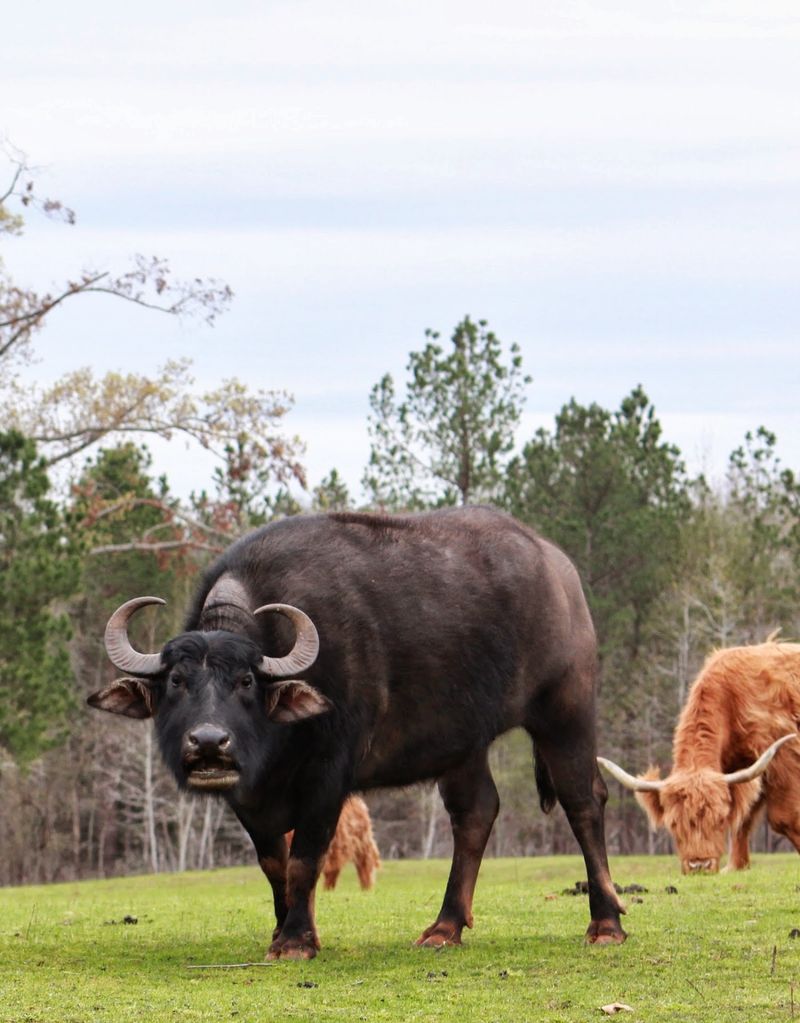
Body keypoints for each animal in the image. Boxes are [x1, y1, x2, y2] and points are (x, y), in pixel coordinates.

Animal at [88, 506, 626, 958]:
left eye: (245, 682)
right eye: (177, 682)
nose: (208, 743)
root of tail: (558, 568)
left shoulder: (329, 777)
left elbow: (304, 859)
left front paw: (296, 941)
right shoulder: (248, 795)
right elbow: (274, 864)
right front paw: (282, 929)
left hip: (565, 710)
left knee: (584, 800)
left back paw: (606, 923)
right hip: (462, 744)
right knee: (475, 812)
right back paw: (445, 927)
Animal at [597, 638, 800, 874]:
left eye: (719, 820)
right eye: (673, 824)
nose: (699, 865)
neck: (732, 700)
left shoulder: (785, 759)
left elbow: (784, 818)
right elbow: (743, 817)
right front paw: (735, 866)